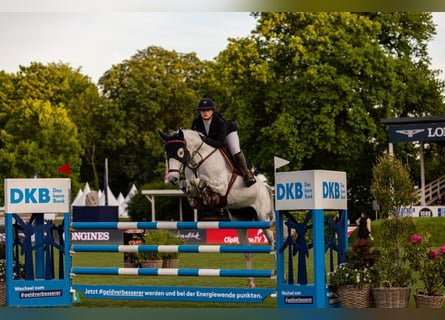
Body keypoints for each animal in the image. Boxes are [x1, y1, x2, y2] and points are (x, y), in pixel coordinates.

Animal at [158, 129, 276, 288]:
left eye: (180, 152)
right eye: (166, 153)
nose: (172, 179)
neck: (197, 161)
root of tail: (266, 187)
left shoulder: (221, 186)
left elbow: (202, 182)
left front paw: (207, 197)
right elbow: (187, 184)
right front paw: (196, 198)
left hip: (263, 218)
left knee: (273, 243)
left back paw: (279, 275)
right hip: (240, 220)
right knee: (247, 251)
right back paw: (251, 282)